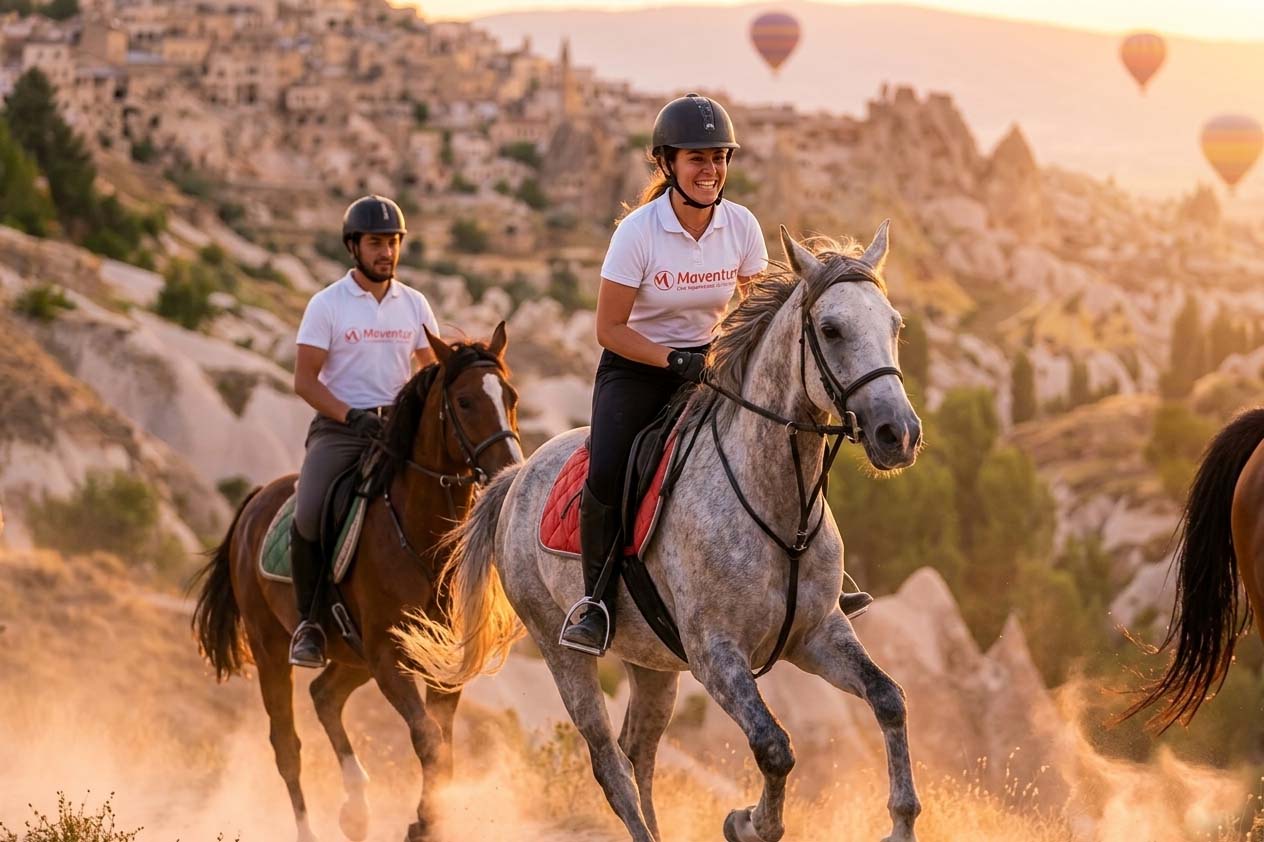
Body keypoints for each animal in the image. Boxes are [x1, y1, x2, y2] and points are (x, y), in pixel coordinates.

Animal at [191, 325, 522, 842]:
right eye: (466, 401)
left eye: (510, 397)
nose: (509, 468)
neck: (421, 539)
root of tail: (256, 501)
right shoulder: (389, 657)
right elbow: (428, 739)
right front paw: (422, 824)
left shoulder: (441, 664)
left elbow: (443, 748)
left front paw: (427, 820)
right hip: (272, 648)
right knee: (287, 746)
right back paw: (316, 827)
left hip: (353, 656)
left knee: (324, 696)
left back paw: (357, 808)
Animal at [398, 223, 925, 842]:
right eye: (831, 329)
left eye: (894, 325)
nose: (898, 434)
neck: (777, 506)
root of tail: (516, 475)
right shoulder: (715, 655)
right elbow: (774, 748)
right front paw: (748, 822)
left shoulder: (817, 634)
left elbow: (889, 699)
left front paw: (901, 822)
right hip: (562, 649)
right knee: (611, 765)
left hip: (650, 663)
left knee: (639, 751)